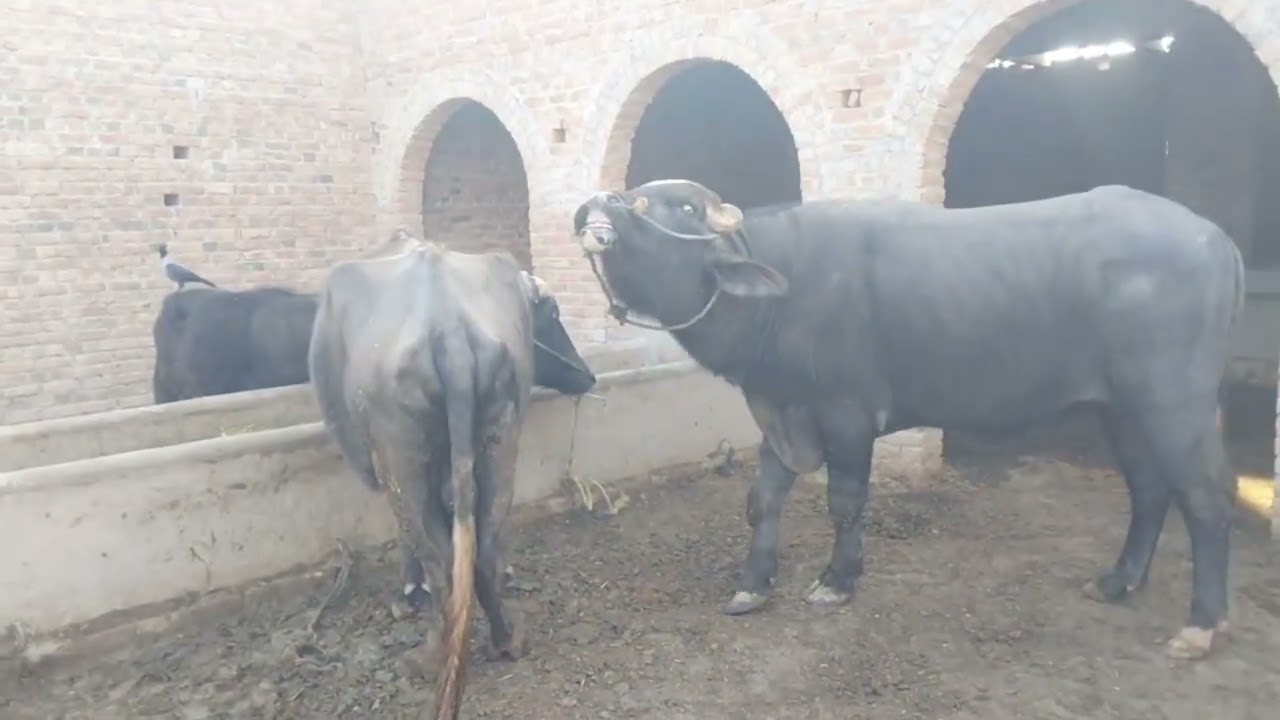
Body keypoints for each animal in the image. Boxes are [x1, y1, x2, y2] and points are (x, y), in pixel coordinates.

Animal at [308, 233, 596, 719]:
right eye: (553, 316)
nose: (588, 375)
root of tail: (449, 331)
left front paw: (408, 593)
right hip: (500, 437)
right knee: (484, 547)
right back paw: (506, 639)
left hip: (401, 455)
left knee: (441, 560)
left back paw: (428, 656)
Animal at [572, 180, 1244, 662]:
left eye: (682, 205)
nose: (597, 204)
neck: (782, 296)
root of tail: (1214, 237)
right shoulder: (782, 414)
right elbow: (762, 499)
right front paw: (752, 586)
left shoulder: (847, 414)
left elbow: (845, 501)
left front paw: (837, 580)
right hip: (1121, 409)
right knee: (1149, 489)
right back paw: (1117, 582)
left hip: (1175, 403)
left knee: (1206, 501)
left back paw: (1201, 625)